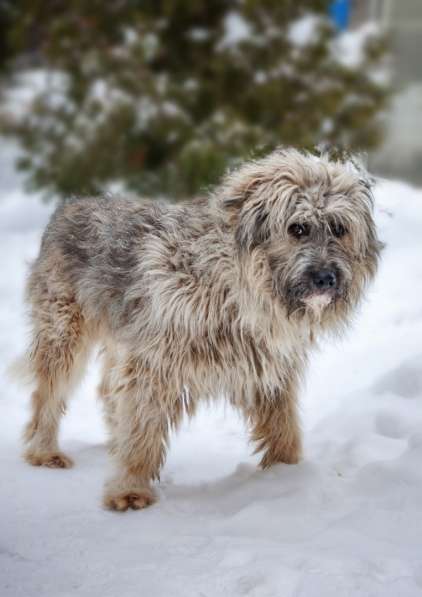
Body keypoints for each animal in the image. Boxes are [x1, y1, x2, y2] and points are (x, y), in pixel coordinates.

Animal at [19, 148, 382, 508]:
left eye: (338, 228)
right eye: (298, 229)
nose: (325, 278)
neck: (235, 285)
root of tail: (70, 205)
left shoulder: (268, 369)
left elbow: (282, 426)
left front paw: (288, 475)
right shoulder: (155, 364)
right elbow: (142, 428)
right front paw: (130, 489)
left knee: (107, 391)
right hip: (64, 331)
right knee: (48, 394)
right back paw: (44, 450)